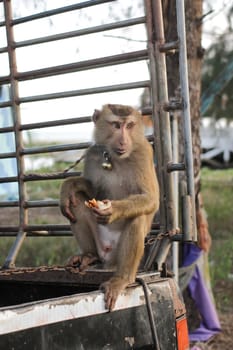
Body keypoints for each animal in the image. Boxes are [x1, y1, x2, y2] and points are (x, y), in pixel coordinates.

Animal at [59, 103, 159, 308]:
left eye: (129, 125)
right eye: (116, 125)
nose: (123, 140)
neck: (115, 157)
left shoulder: (144, 153)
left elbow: (151, 199)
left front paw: (113, 211)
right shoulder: (93, 154)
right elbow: (92, 192)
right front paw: (71, 185)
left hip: (117, 255)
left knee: (137, 217)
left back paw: (123, 278)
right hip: (100, 244)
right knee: (76, 203)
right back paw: (89, 255)